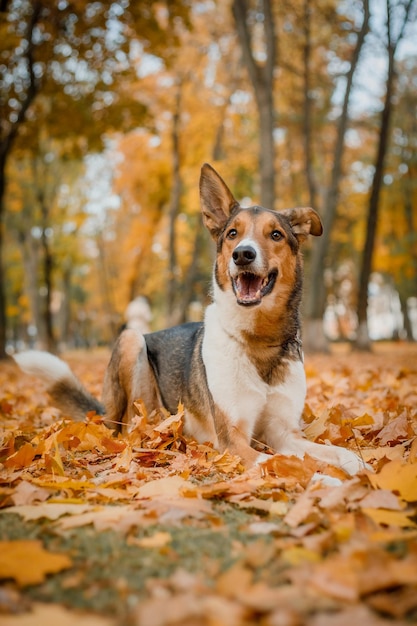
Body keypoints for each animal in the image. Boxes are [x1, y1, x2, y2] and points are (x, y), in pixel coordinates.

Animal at [13, 163, 362, 470]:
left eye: (275, 235)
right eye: (232, 234)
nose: (243, 254)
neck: (259, 339)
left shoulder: (283, 432)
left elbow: (335, 453)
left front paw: (358, 469)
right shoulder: (233, 441)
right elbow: (281, 462)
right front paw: (328, 480)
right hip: (131, 343)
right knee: (127, 427)